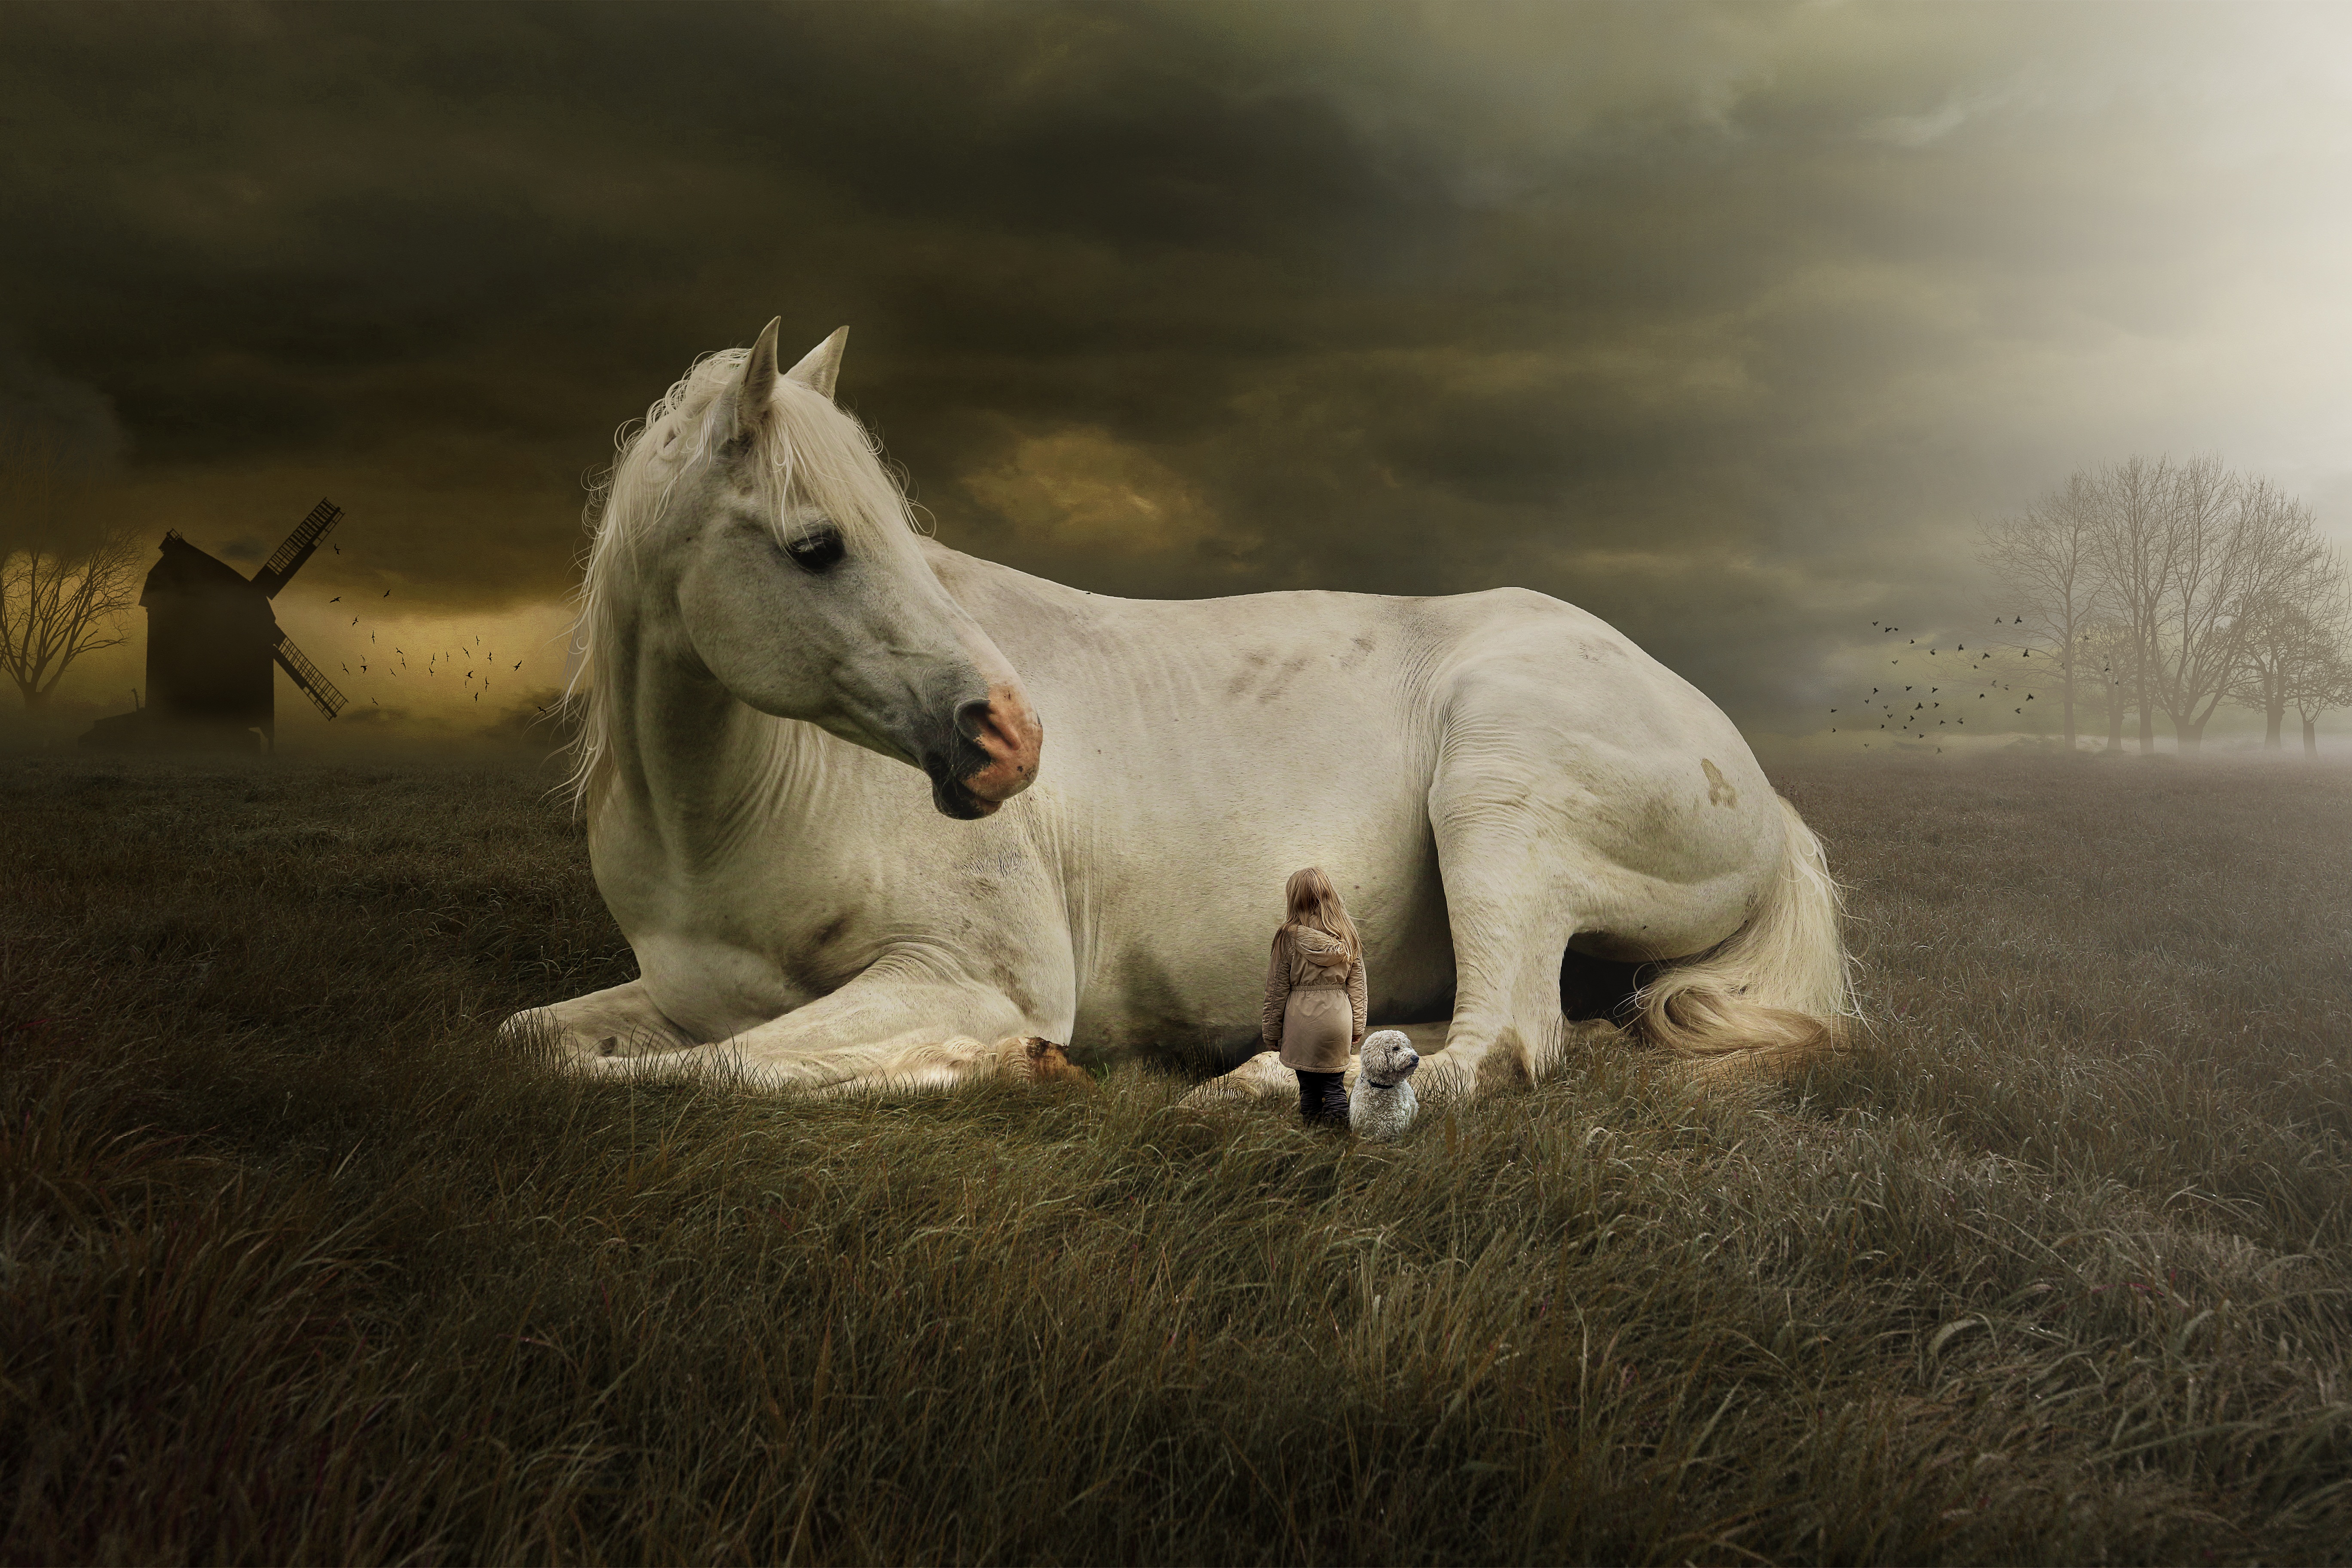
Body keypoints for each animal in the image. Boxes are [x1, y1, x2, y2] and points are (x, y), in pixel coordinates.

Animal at [503, 319, 1852, 1100]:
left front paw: (994, 1064)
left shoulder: (964, 975)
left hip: (1497, 798)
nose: (1011, 739)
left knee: (1501, 1041)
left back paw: (1263, 1090)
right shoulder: (684, 992)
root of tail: (1763, 792)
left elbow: (717, 1070)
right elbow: (542, 1042)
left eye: (894, 530)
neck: (726, 817)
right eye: (819, 545)